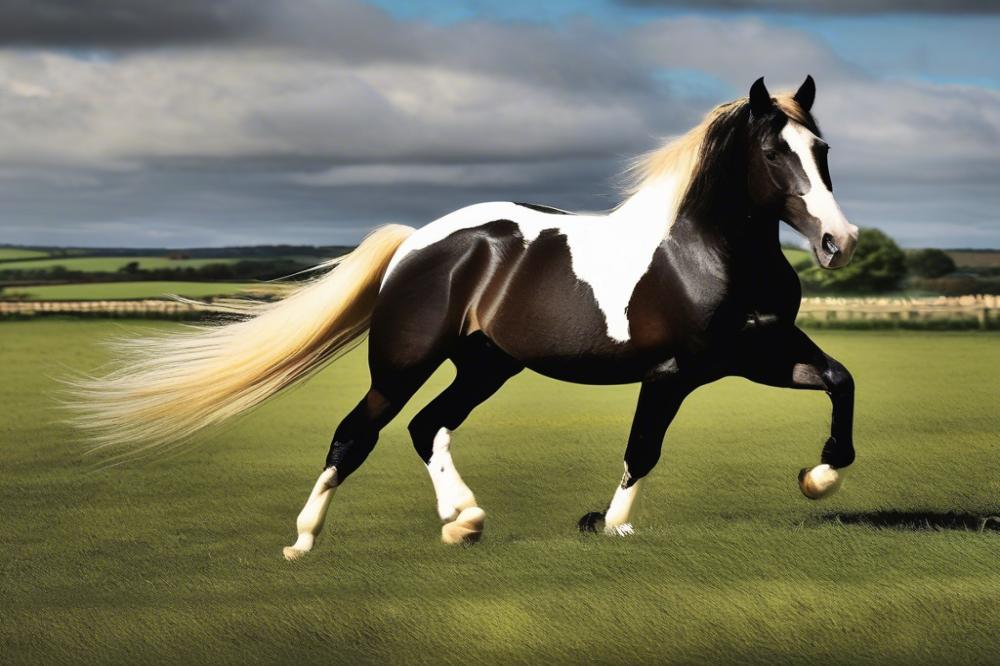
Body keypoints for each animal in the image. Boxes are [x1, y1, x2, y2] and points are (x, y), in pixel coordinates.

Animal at [76, 75, 860, 556]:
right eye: (772, 152)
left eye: (822, 149)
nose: (838, 241)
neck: (704, 255)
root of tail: (417, 244)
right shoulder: (672, 373)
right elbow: (642, 451)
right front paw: (608, 525)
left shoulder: (757, 356)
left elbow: (840, 382)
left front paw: (817, 477)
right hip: (403, 363)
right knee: (355, 434)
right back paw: (304, 540)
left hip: (487, 365)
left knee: (427, 427)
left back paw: (464, 521)